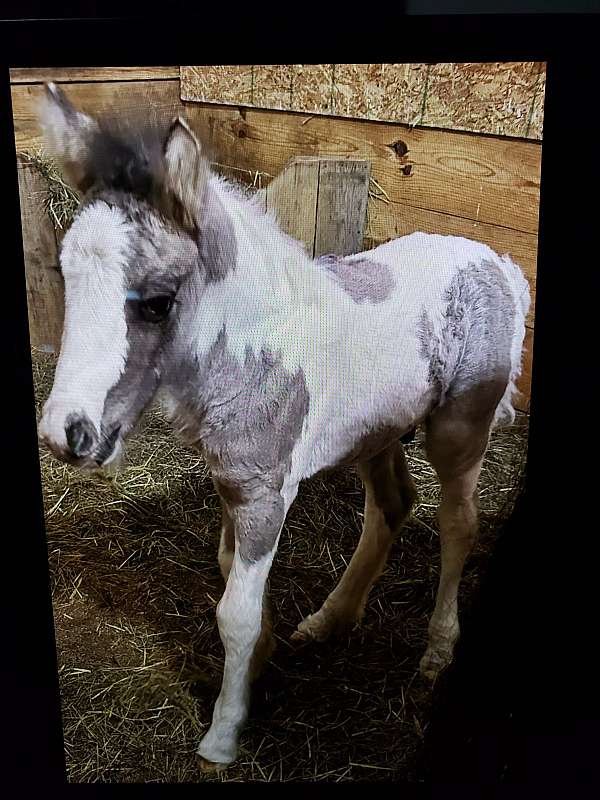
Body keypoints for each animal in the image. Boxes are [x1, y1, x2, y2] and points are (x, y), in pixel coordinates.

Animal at [36, 82, 531, 770]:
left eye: (158, 302)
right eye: (64, 274)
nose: (66, 434)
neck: (253, 349)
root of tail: (497, 262)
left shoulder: (266, 494)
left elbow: (234, 613)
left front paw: (224, 732)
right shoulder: (230, 484)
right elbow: (227, 569)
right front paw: (264, 659)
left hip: (459, 431)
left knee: (459, 523)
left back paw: (436, 650)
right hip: (376, 433)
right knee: (393, 506)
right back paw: (330, 620)